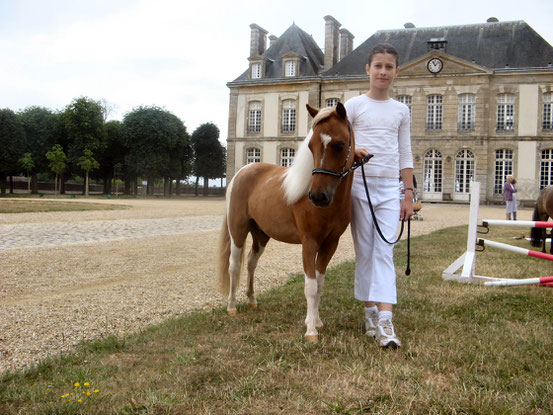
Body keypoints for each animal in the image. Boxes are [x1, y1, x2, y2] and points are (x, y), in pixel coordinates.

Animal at [219, 102, 358, 342]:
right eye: (311, 146)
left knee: (251, 262)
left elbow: (320, 284)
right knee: (234, 266)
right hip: (238, 231)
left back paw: (252, 300)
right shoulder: (309, 243)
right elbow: (310, 286)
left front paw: (318, 322)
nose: (318, 196)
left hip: (261, 235)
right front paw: (310, 330)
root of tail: (244, 170)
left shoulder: (331, 244)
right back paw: (232, 307)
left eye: (340, 145)